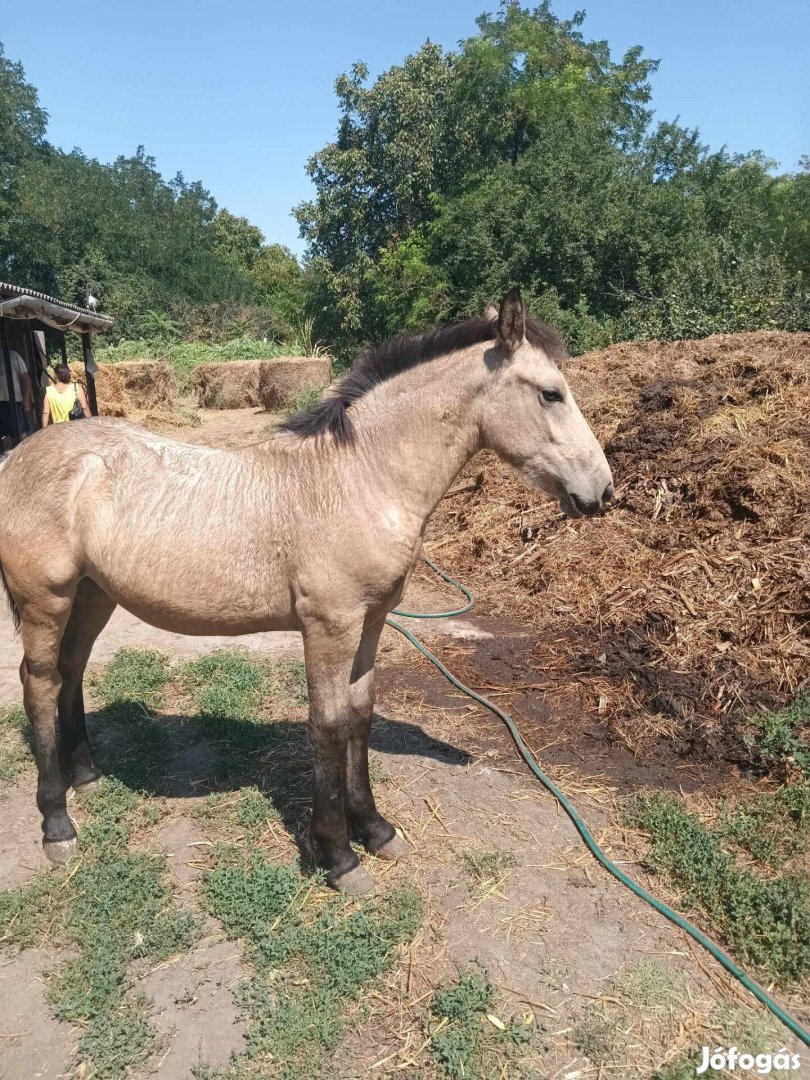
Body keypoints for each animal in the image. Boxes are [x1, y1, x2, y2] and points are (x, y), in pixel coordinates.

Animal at [0, 289, 609, 894]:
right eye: (551, 393)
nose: (601, 491)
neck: (358, 478)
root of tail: (19, 458)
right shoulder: (328, 627)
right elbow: (329, 727)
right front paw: (338, 855)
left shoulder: (371, 622)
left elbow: (360, 716)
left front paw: (377, 830)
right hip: (46, 601)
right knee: (40, 684)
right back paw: (57, 824)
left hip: (93, 595)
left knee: (72, 670)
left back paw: (88, 777)